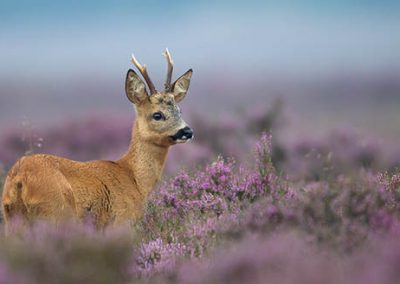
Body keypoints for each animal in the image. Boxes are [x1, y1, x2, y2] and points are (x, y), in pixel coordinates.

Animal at [0, 49, 194, 231]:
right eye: (157, 115)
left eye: (180, 110)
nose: (188, 131)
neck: (134, 179)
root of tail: (20, 179)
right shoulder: (122, 219)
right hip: (56, 211)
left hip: (12, 217)